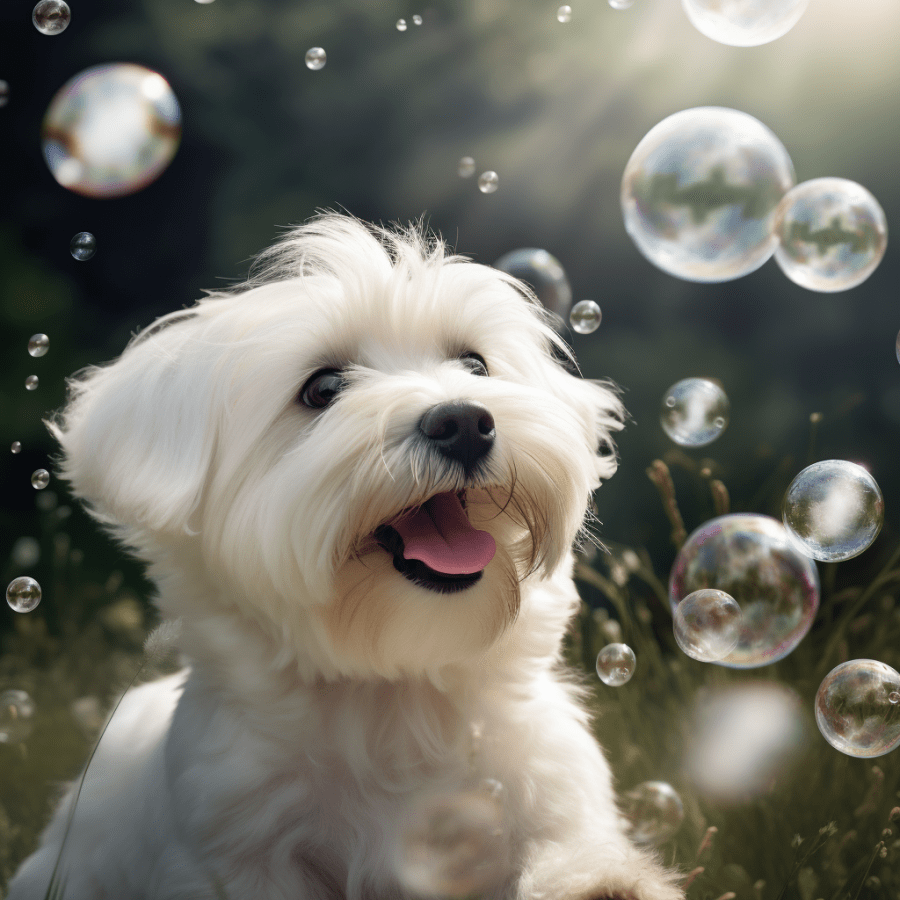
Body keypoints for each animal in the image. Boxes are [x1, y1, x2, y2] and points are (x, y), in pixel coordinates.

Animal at [8, 213, 684, 900]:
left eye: (475, 364)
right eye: (323, 389)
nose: (465, 421)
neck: (396, 694)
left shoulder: (550, 788)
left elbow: (566, 845)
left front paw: (603, 880)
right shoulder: (239, 842)